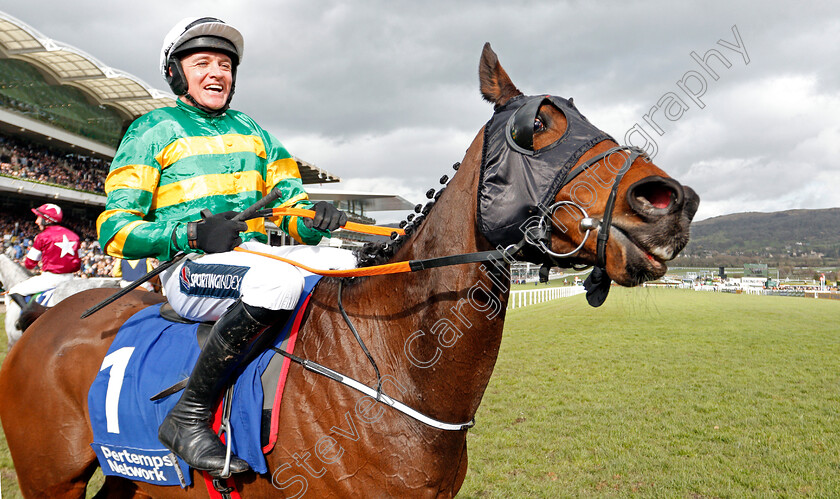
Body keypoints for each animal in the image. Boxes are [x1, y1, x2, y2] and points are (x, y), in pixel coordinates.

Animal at [0, 45, 696, 498]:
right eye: (536, 127)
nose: (669, 201)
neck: (394, 369)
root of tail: (45, 318)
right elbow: (118, 215)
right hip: (51, 477)